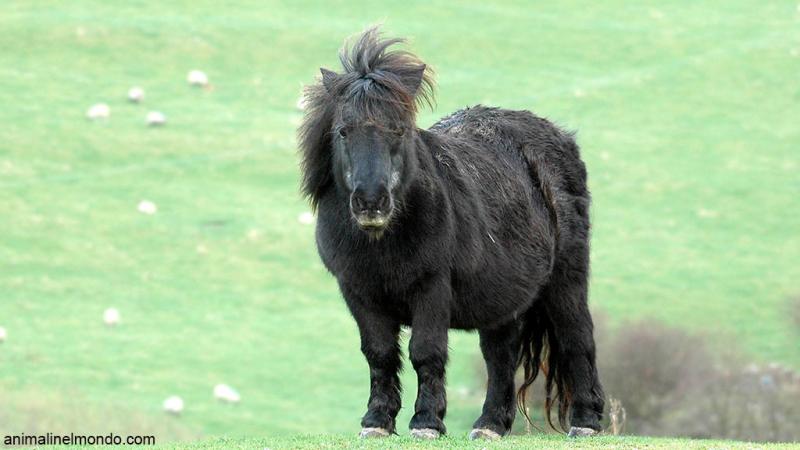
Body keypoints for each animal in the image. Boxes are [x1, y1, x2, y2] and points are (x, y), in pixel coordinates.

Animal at [298, 27, 604, 440]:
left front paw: (426, 422)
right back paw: (490, 425)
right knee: (500, 356)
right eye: (343, 131)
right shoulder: (359, 293)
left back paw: (586, 422)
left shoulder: (432, 288)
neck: (383, 242)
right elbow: (379, 354)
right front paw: (377, 421)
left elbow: (426, 352)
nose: (371, 202)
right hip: (503, 300)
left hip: (566, 281)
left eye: (399, 130)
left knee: (576, 338)